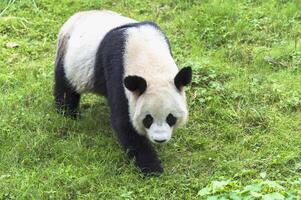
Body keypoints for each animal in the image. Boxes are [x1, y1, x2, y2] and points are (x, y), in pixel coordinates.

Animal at [53, 10, 191, 174]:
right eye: (148, 119)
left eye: (171, 118)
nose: (160, 139)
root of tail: (75, 16)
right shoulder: (117, 70)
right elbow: (125, 123)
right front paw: (152, 168)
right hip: (69, 57)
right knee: (66, 87)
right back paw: (68, 113)